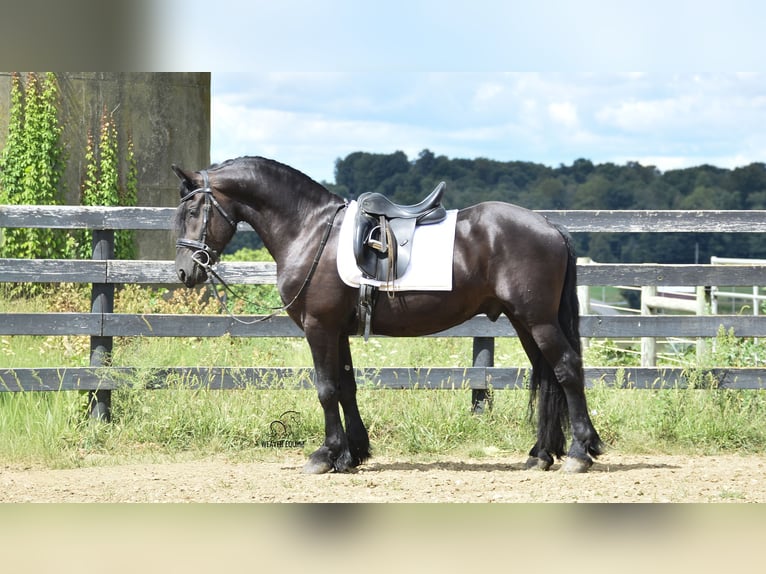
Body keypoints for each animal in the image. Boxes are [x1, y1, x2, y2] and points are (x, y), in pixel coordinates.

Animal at [172, 156, 603, 474]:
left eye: (193, 209)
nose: (184, 272)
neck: (310, 231)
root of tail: (549, 226)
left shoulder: (319, 327)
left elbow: (326, 389)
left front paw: (325, 455)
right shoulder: (337, 331)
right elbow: (346, 387)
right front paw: (351, 455)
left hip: (538, 320)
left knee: (566, 369)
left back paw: (580, 453)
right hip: (522, 320)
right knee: (546, 375)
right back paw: (541, 454)